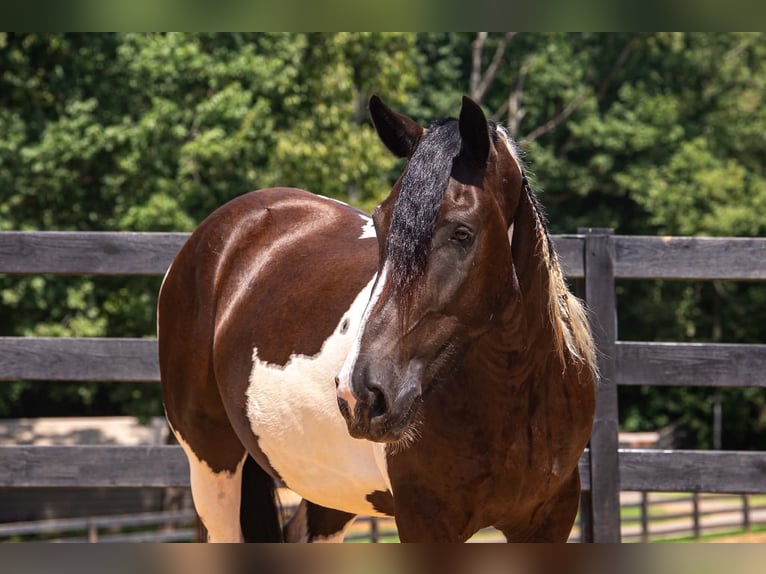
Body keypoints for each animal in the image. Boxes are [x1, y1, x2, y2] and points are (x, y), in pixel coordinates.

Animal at [158, 95, 597, 542]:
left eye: (462, 232)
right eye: (382, 224)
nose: (361, 396)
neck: (516, 395)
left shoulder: (550, 518)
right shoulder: (425, 519)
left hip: (330, 489)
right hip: (213, 469)